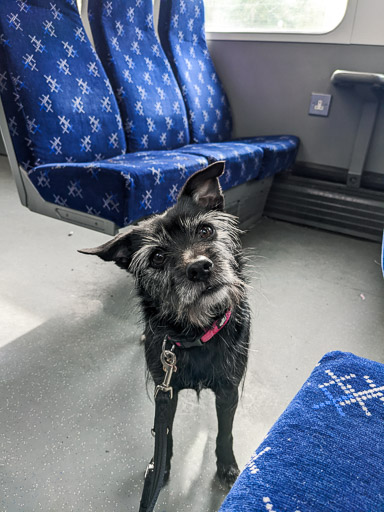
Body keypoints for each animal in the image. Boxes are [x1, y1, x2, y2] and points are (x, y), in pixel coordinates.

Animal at [79, 162, 250, 486]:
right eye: (157, 257)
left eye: (206, 230)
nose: (200, 267)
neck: (197, 332)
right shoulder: (165, 393)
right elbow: (164, 434)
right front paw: (160, 469)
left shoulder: (228, 391)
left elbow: (226, 431)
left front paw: (226, 464)